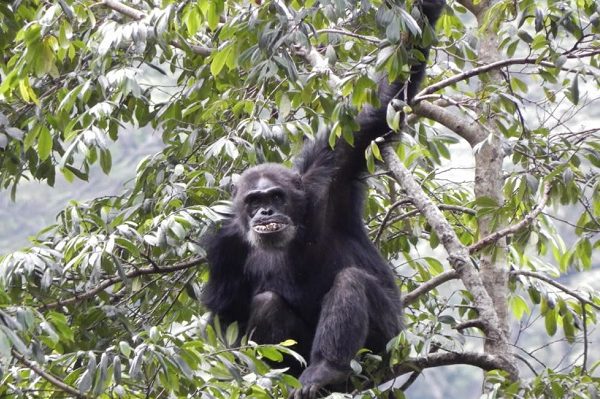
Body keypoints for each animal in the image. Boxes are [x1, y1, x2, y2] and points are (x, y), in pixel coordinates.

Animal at [204, 1, 442, 398]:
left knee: (351, 281)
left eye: (276, 196)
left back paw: (326, 370)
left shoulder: (333, 166)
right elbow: (227, 314)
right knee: (267, 304)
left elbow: (382, 104)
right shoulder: (223, 247)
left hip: (389, 343)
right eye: (253, 202)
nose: (265, 211)